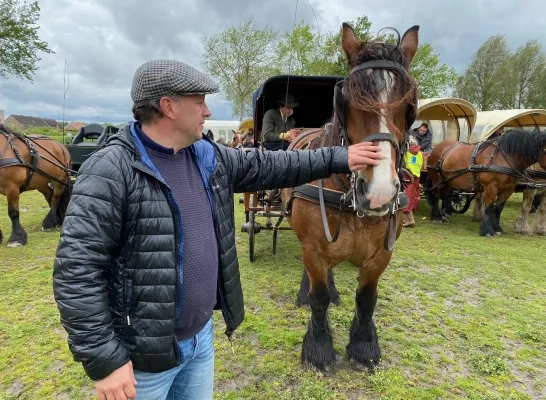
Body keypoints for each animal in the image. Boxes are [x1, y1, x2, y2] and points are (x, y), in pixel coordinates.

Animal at [278, 22, 418, 372]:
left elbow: (366, 299)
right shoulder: (313, 248)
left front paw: (364, 346)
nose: (379, 192)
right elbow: (318, 298)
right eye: (348, 98)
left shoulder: (381, 255)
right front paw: (318, 347)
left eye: (409, 103)